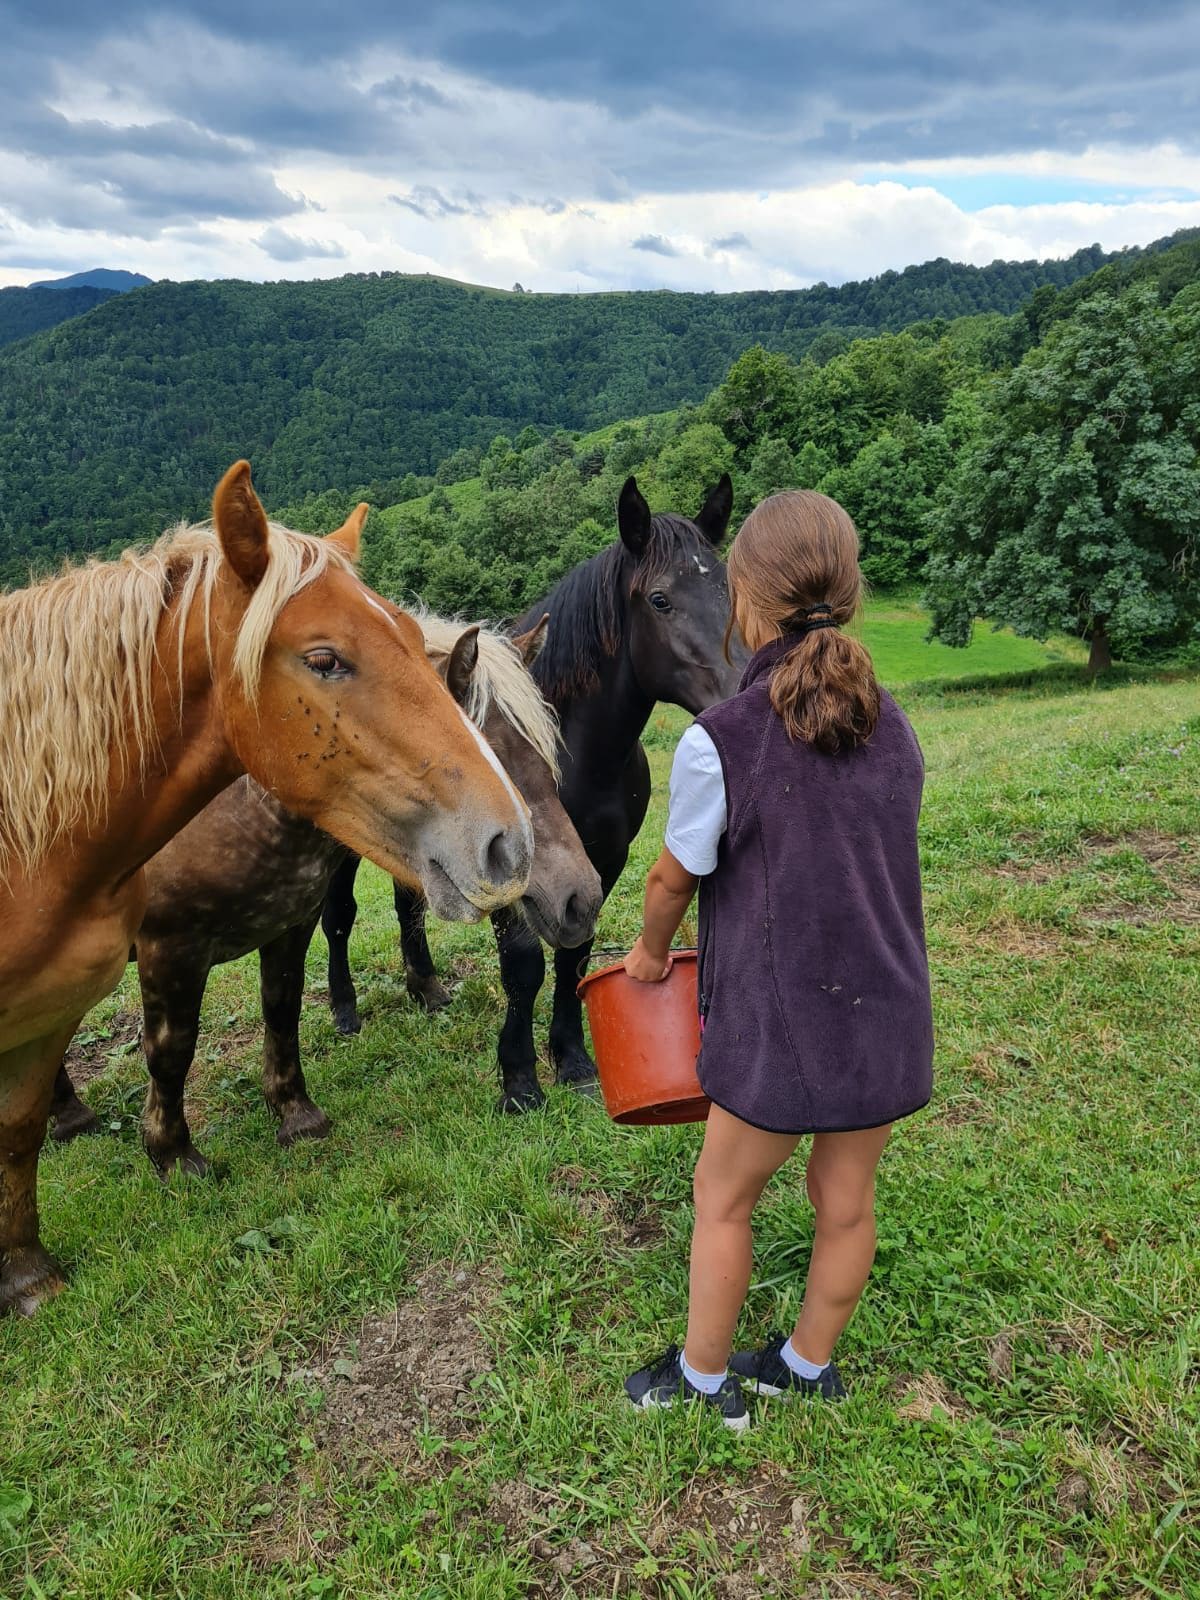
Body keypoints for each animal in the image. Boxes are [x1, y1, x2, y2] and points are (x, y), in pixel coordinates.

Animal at [49, 611, 601, 1177]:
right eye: (490, 754)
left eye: (543, 750)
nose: (580, 896)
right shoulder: (171, 949)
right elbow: (171, 1050)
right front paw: (175, 1155)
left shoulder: (290, 925)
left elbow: (282, 1010)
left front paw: (296, 1115)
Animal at [324, 467, 748, 1107]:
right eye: (660, 600)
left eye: (727, 591)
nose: (744, 692)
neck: (576, 755)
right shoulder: (512, 866)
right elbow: (524, 964)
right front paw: (520, 1078)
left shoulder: (600, 861)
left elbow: (574, 954)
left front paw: (572, 1058)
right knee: (339, 916)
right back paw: (345, 1010)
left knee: (408, 902)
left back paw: (427, 990)